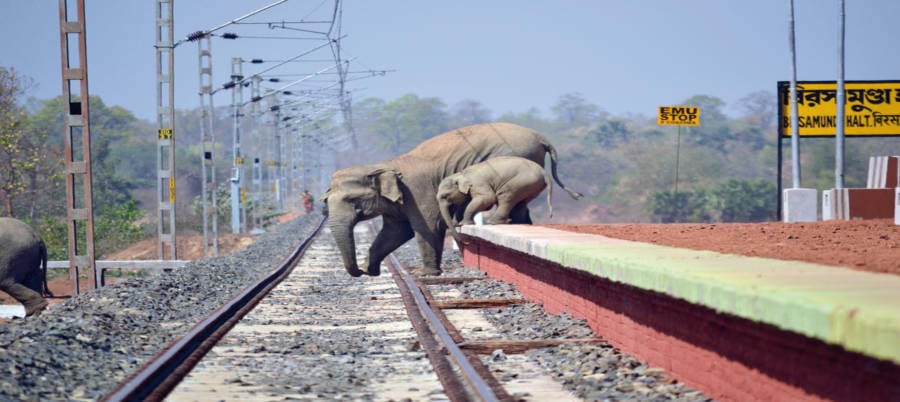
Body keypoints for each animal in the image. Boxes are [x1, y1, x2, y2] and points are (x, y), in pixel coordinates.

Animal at [320, 121, 580, 276]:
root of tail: (542, 138)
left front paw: (427, 275)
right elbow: (395, 232)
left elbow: (426, 227)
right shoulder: (399, 203)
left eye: (351, 200)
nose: (361, 272)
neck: (386, 165)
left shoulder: (417, 192)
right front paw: (371, 269)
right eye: (325, 201)